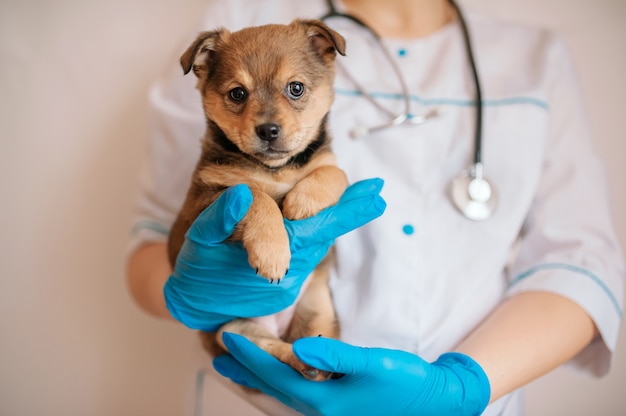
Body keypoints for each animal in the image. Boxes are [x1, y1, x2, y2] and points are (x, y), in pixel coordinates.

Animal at [167, 21, 346, 382]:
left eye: (295, 88)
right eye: (237, 93)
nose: (268, 130)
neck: (276, 170)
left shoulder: (328, 164)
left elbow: (333, 173)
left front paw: (301, 202)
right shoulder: (205, 199)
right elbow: (255, 196)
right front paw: (272, 253)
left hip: (319, 307)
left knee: (313, 341)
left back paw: (319, 363)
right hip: (231, 329)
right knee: (268, 347)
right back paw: (302, 361)